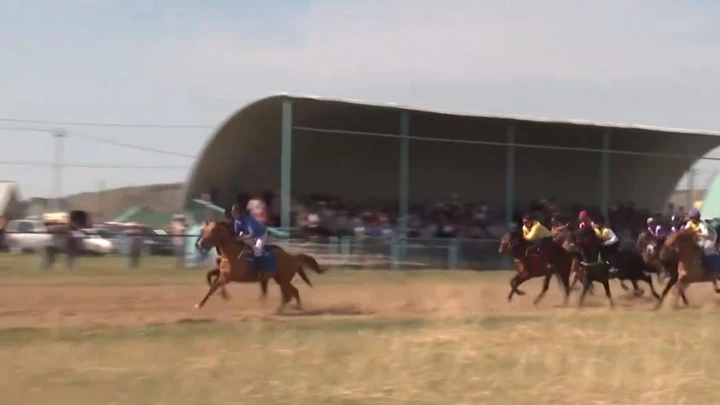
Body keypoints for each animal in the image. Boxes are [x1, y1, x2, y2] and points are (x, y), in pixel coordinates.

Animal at [191, 219, 326, 310]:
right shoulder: (223, 274)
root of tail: (292, 257)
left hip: (283, 279)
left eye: (213, 230)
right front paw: (220, 297)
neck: (231, 253)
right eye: (204, 230)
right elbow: (212, 283)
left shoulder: (228, 277)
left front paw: (199, 305)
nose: (200, 244)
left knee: (289, 293)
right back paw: (295, 307)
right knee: (293, 292)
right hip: (280, 279)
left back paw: (280, 309)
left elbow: (213, 287)